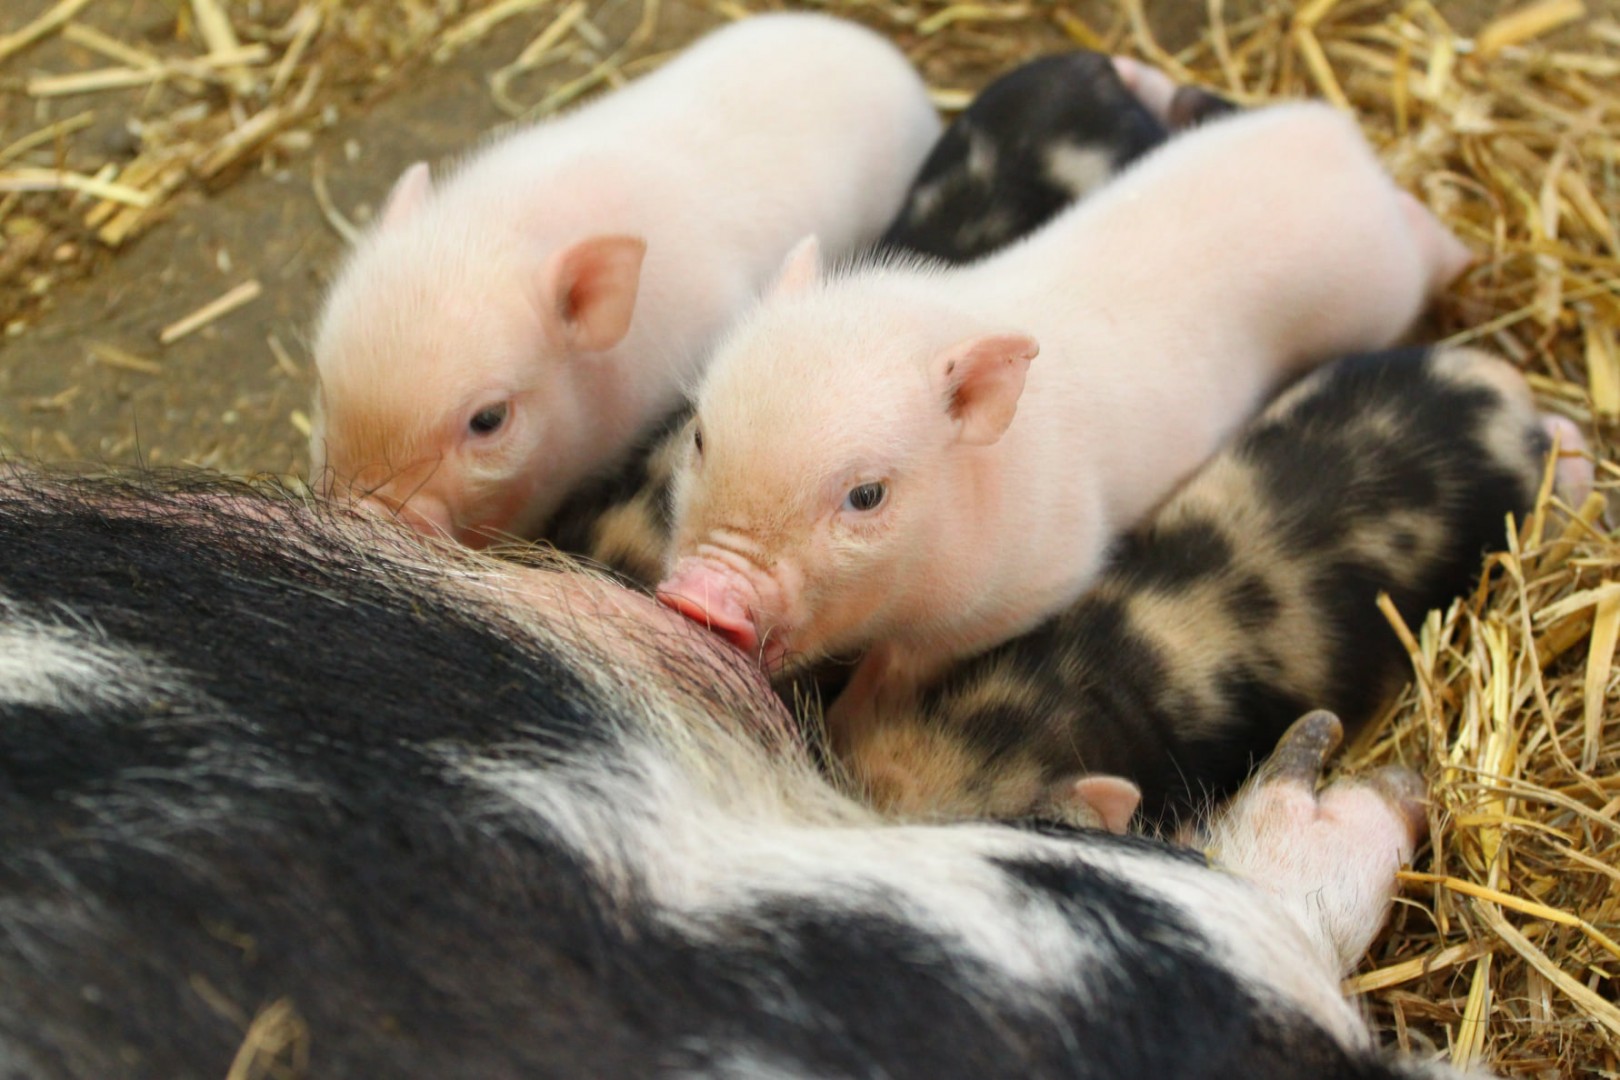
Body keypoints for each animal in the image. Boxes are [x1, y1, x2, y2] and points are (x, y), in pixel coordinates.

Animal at [659, 102, 1475, 705]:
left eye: (866, 495)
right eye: (699, 439)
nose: (700, 594)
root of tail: (1342, 141)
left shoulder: (1039, 578)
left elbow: (900, 667)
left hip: (1377, 291)